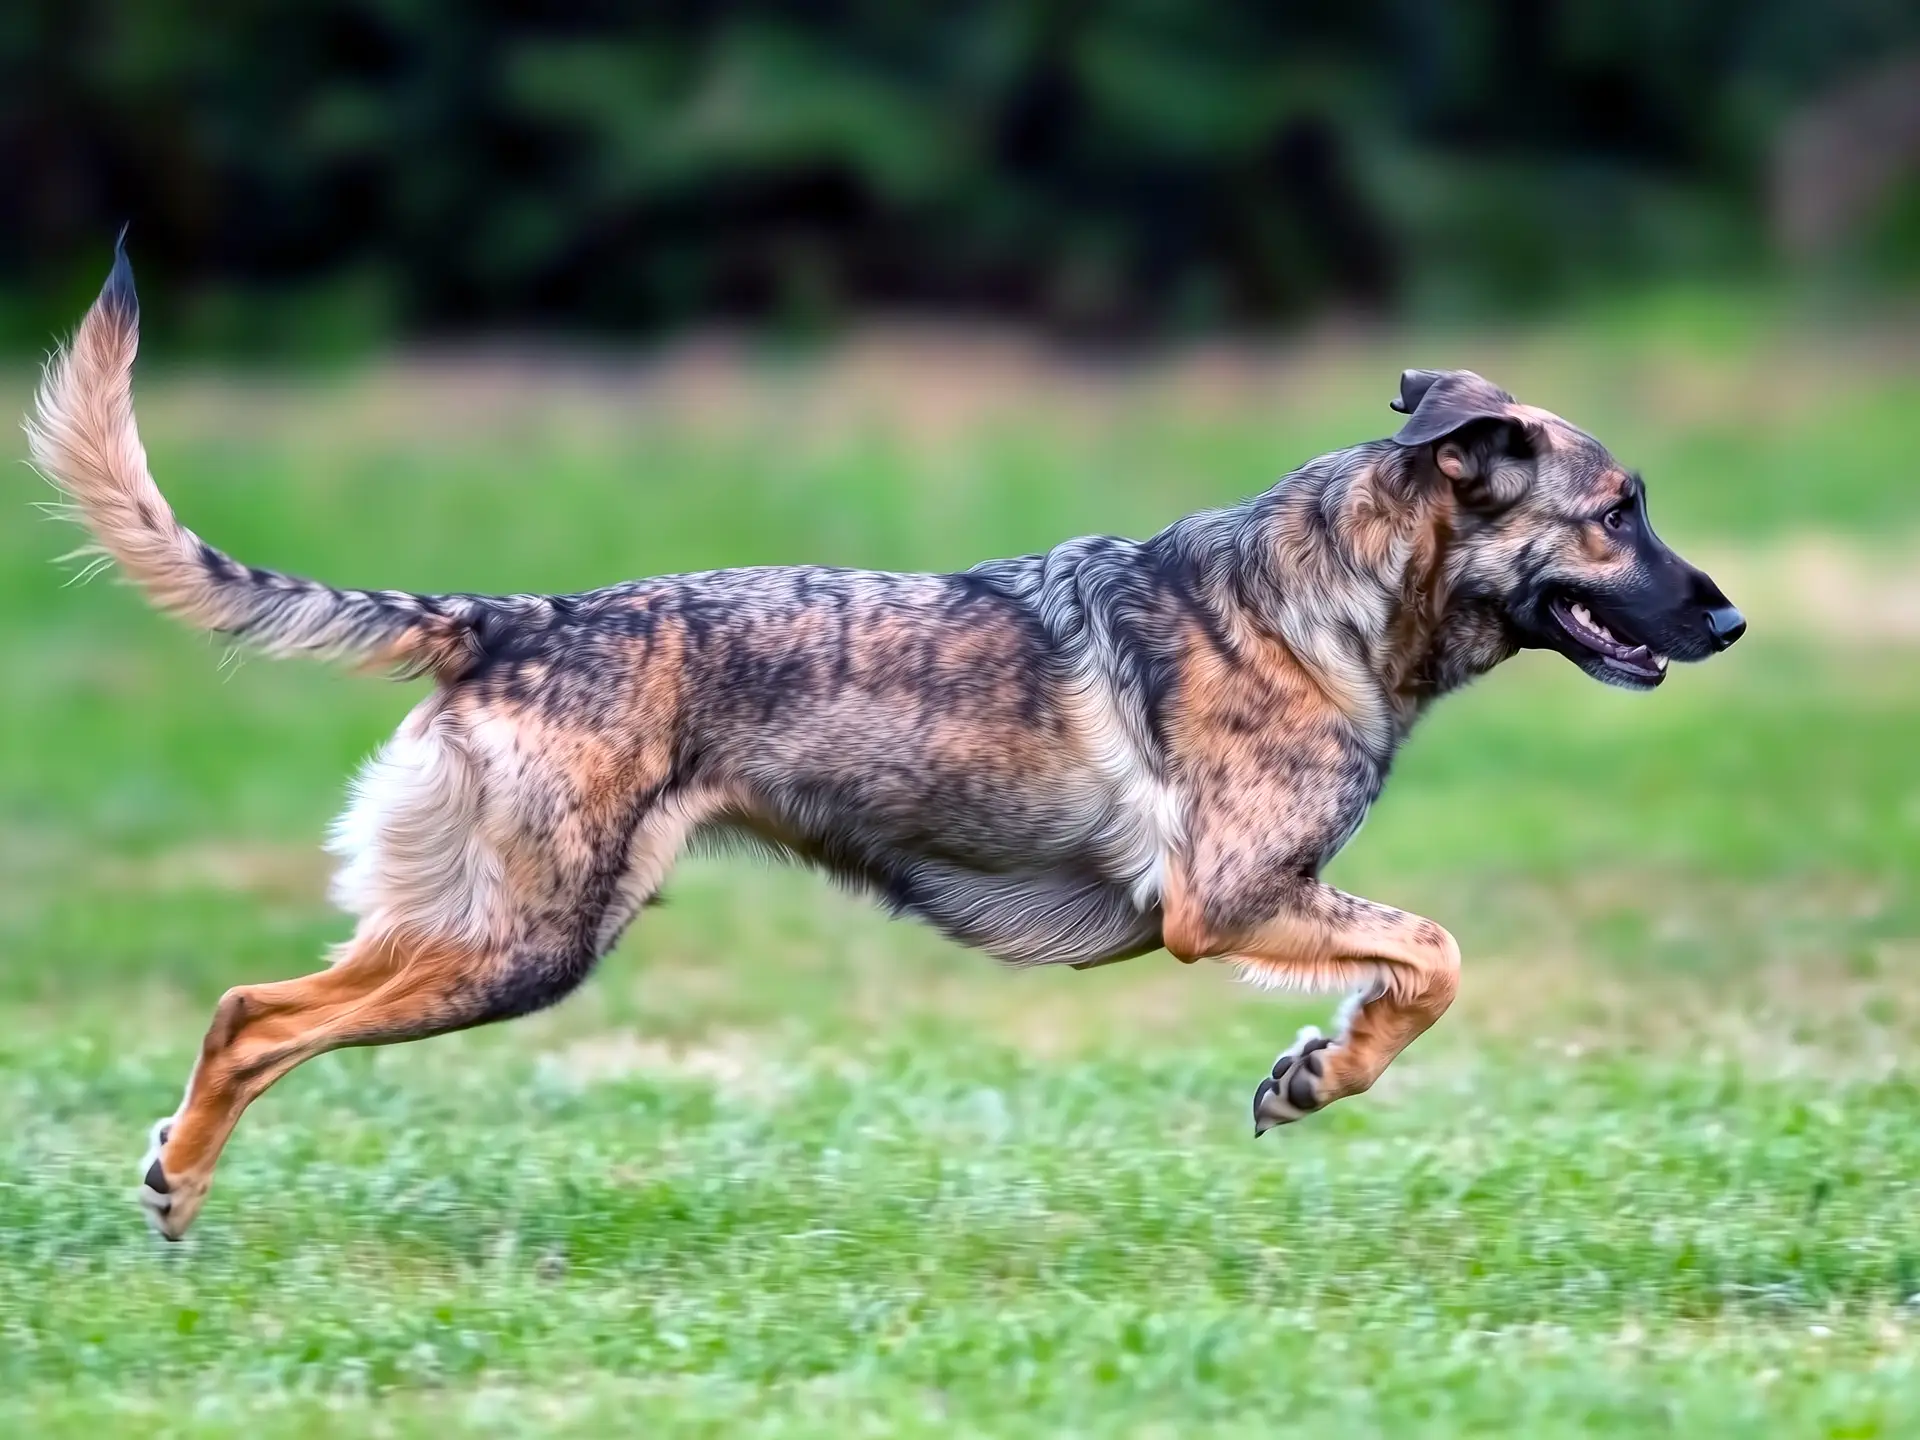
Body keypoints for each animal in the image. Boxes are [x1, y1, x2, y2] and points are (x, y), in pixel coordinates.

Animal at [30, 240, 1751, 1244]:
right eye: (1618, 513)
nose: (1732, 624)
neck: (1331, 597)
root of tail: (510, 622)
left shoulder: (1269, 903)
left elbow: (1416, 964)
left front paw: (1315, 1066)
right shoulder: (1230, 903)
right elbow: (1440, 955)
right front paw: (1321, 1076)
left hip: (487, 925)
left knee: (258, 1004)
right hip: (522, 940)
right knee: (254, 1013)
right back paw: (177, 1188)